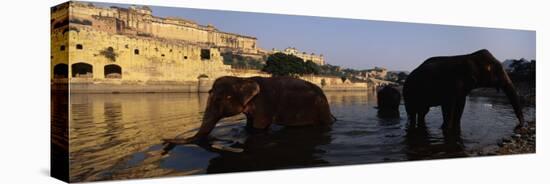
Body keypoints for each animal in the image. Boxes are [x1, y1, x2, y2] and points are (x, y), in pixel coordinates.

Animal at [164, 75, 336, 144]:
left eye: (219, 99)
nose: (164, 140)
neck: (243, 80)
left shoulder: (263, 104)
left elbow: (259, 128)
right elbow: (249, 125)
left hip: (320, 108)